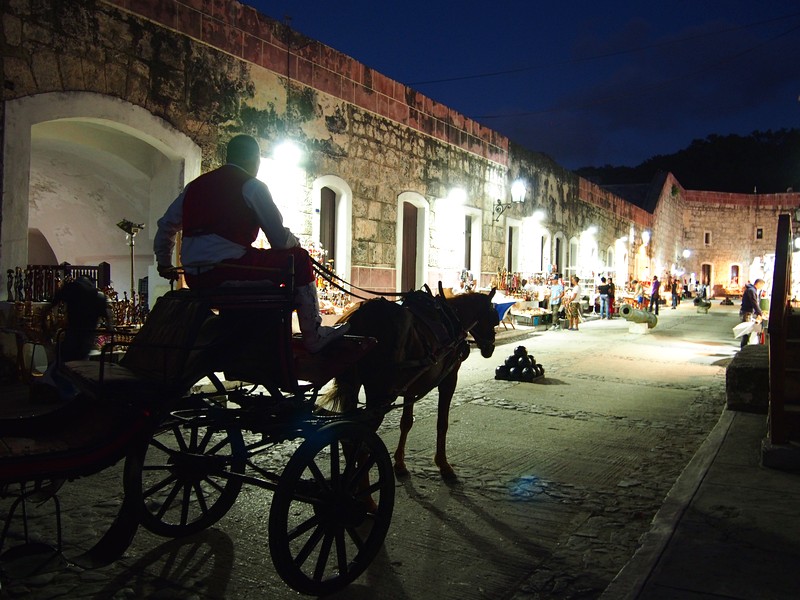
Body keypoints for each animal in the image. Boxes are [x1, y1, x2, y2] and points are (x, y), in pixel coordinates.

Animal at [322, 288, 496, 480]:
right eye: (494, 318)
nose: (490, 348)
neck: (453, 317)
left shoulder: (411, 386)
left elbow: (406, 422)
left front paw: (399, 463)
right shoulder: (449, 379)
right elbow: (442, 423)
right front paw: (443, 464)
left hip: (354, 387)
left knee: (348, 437)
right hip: (379, 394)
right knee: (360, 441)